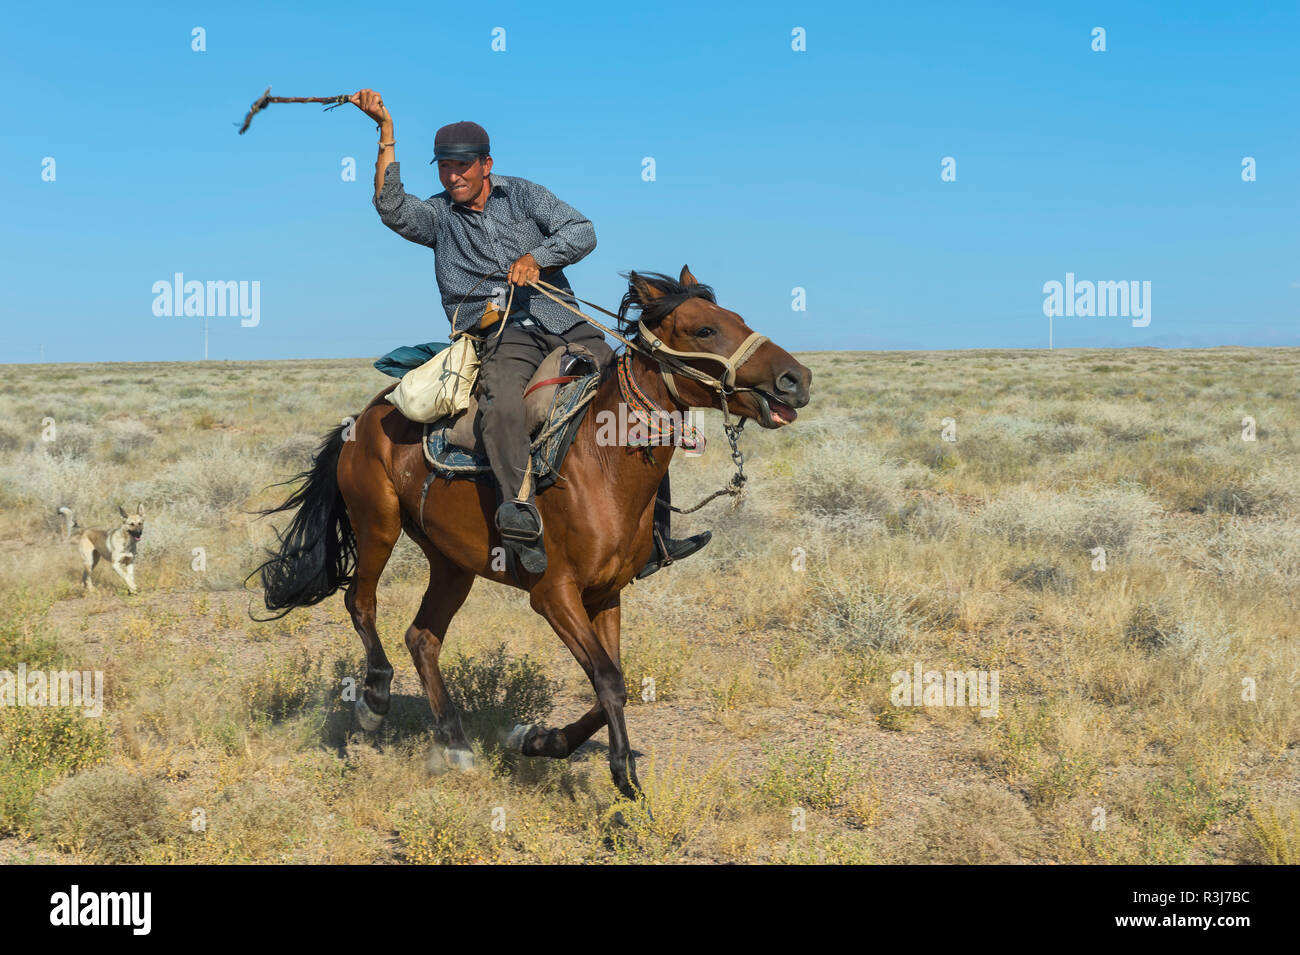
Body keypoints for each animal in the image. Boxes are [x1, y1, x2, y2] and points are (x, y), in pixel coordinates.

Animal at [253, 265, 811, 805]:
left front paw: (538, 740)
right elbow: (609, 680)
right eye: (704, 330)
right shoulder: (554, 595)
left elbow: (613, 683)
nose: (796, 379)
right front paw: (624, 781)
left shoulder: (605, 595)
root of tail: (364, 415)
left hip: (451, 563)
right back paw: (374, 699)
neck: (601, 462)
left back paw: (456, 743)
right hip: (377, 526)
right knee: (360, 602)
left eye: (737, 318)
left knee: (423, 637)